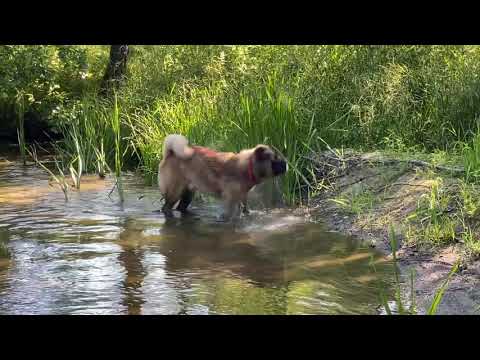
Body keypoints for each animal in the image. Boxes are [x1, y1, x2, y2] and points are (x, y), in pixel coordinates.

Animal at [158, 135, 286, 219]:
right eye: (275, 160)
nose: (286, 163)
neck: (247, 167)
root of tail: (171, 153)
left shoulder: (242, 199)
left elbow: (245, 211)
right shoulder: (230, 201)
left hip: (188, 193)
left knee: (180, 207)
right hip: (175, 191)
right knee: (166, 207)